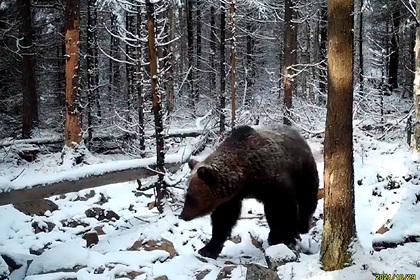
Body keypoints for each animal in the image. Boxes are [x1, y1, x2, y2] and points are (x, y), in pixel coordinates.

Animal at [179, 126, 320, 260]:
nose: (182, 215)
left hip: (304, 170)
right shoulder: (231, 197)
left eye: (190, 195)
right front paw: (208, 249)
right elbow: (223, 219)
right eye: (186, 193)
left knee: (307, 197)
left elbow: (283, 209)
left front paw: (286, 238)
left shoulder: (275, 183)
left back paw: (301, 226)